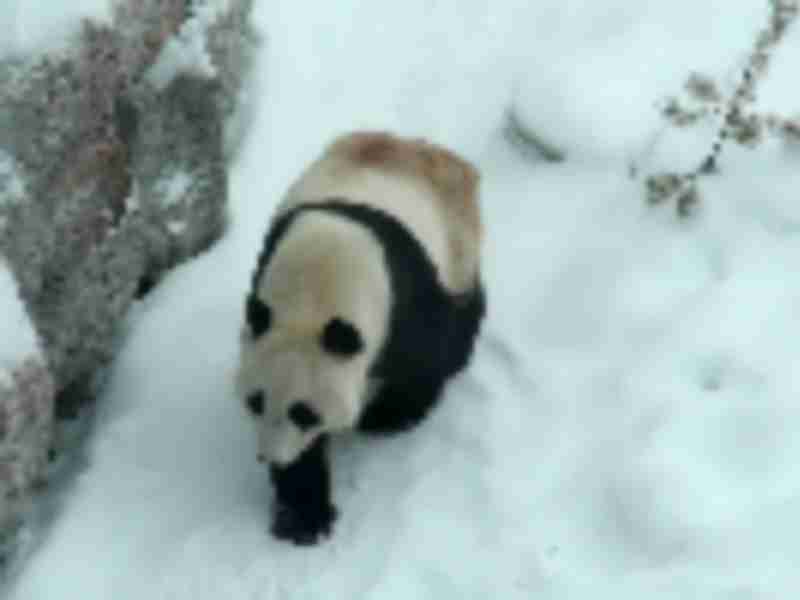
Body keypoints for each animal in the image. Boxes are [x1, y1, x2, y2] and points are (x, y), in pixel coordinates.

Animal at [234, 131, 484, 548]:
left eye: (304, 412)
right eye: (256, 401)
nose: (271, 457)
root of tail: (417, 145)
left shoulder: (405, 301)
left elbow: (424, 361)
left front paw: (387, 418)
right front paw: (303, 517)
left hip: (459, 246)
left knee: (467, 314)